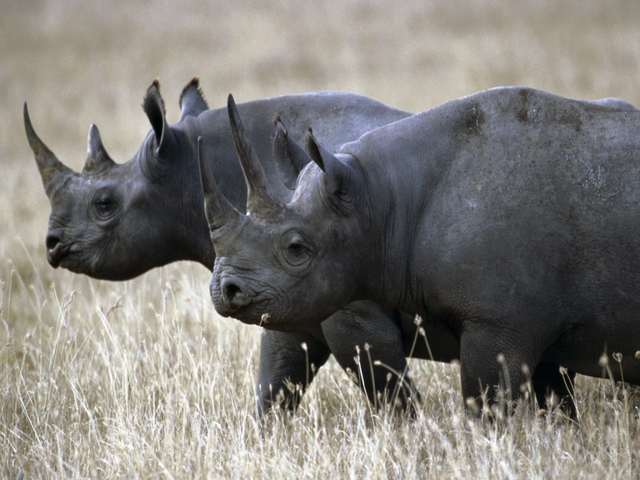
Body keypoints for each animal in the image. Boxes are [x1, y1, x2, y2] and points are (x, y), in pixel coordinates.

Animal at [25, 79, 465, 415]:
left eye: (104, 204)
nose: (52, 245)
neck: (186, 170)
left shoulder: (347, 302)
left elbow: (391, 394)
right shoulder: (284, 293)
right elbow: (275, 385)